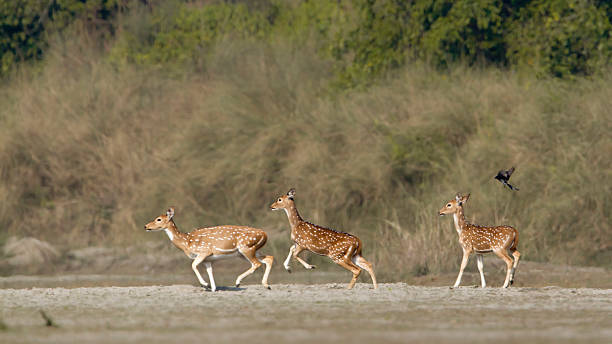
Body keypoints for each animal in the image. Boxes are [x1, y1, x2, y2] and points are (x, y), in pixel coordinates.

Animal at [143, 206, 272, 292]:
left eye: (158, 219)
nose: (146, 226)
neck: (187, 242)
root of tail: (265, 234)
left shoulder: (204, 251)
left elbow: (193, 265)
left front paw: (205, 284)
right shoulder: (208, 260)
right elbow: (210, 271)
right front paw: (212, 287)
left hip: (245, 248)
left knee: (256, 264)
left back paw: (238, 282)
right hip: (249, 251)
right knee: (269, 258)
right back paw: (267, 285)